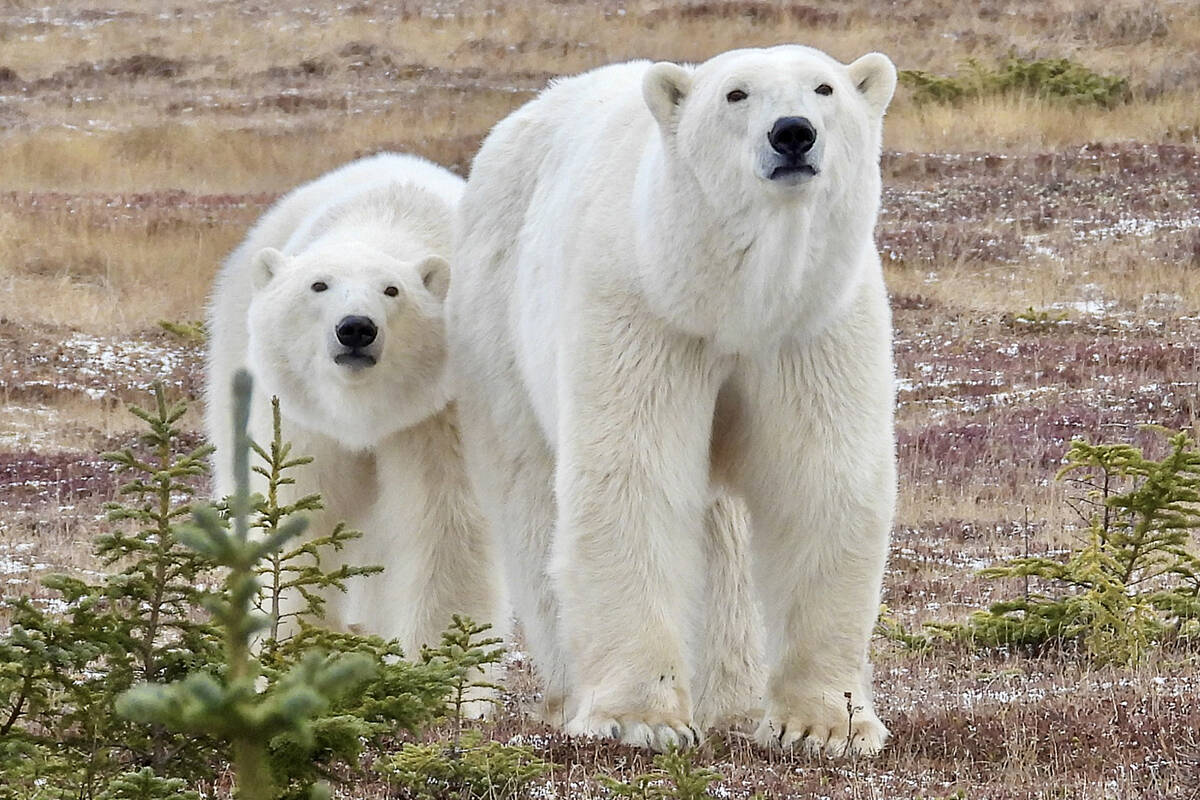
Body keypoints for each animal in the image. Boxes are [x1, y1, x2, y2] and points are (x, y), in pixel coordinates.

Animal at [205, 153, 507, 667]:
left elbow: (446, 527)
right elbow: (300, 516)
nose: (356, 329)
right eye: (318, 285)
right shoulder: (302, 418)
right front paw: (293, 650)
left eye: (392, 290)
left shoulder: (438, 412)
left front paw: (433, 670)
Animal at [446, 46, 897, 754]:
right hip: (496, 325)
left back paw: (733, 701)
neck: (732, 302)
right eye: (736, 94)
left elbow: (821, 480)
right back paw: (570, 690)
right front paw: (640, 718)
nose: (793, 133)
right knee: (530, 499)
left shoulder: (813, 327)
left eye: (824, 87)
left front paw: (825, 726)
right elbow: (633, 476)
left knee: (721, 530)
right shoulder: (644, 312)